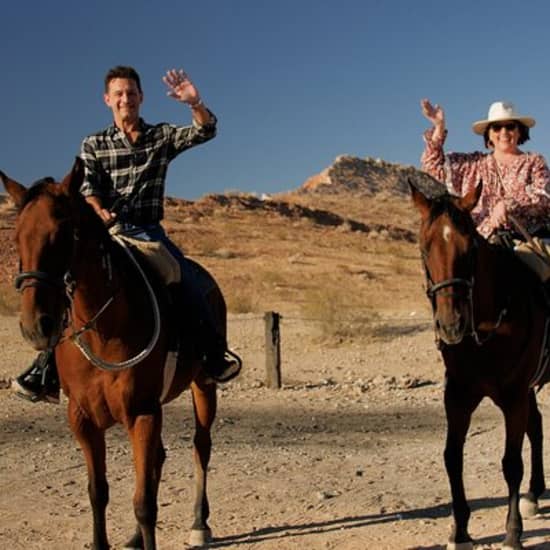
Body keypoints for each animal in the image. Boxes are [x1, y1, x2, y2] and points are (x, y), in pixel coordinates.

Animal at [0, 160, 229, 550]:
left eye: (64, 235)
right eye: (16, 239)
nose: (36, 327)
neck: (103, 329)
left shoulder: (142, 414)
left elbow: (144, 502)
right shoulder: (82, 419)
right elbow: (98, 491)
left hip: (203, 385)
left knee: (201, 447)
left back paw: (200, 524)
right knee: (159, 459)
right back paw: (136, 537)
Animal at [412, 183, 548, 548]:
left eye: (469, 247)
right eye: (424, 247)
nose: (451, 325)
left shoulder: (513, 396)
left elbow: (511, 463)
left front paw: (513, 533)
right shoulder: (458, 395)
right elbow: (452, 457)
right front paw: (459, 530)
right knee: (537, 426)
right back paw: (534, 493)